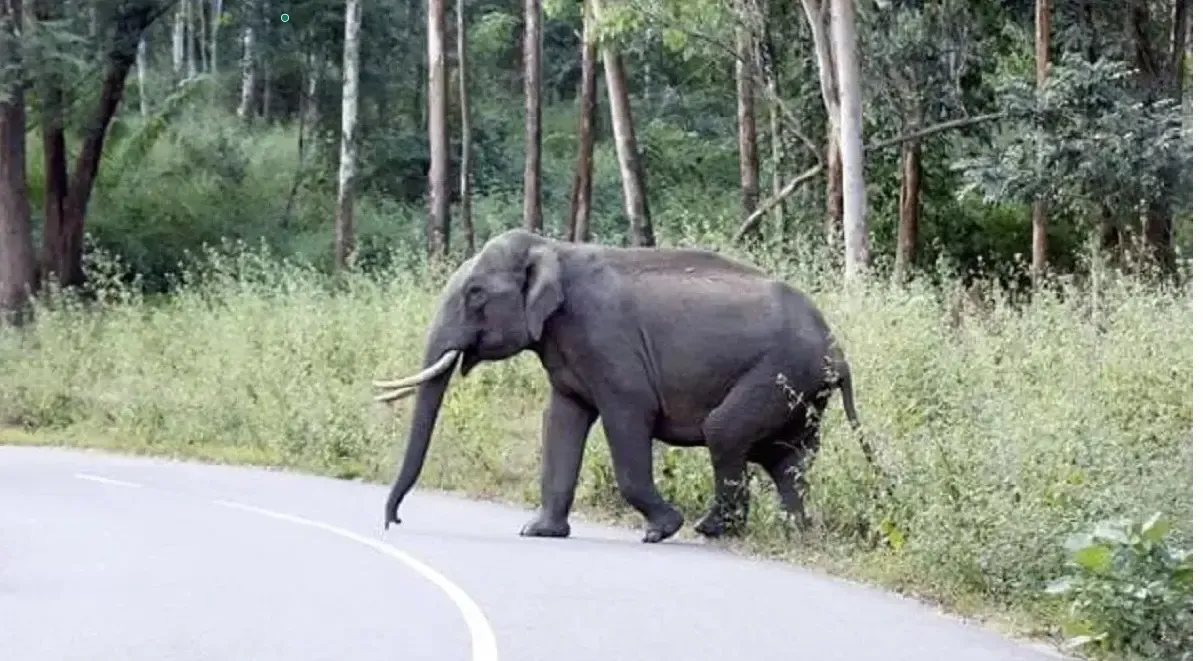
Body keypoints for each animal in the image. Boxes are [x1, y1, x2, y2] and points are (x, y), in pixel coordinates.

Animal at [373, 228, 874, 544]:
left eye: (475, 293)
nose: (394, 521)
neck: (553, 247)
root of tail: (839, 350)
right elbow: (561, 420)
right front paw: (538, 532)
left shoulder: (606, 342)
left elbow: (628, 416)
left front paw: (661, 529)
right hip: (802, 391)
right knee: (787, 458)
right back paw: (794, 532)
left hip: (779, 373)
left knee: (726, 432)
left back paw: (710, 529)